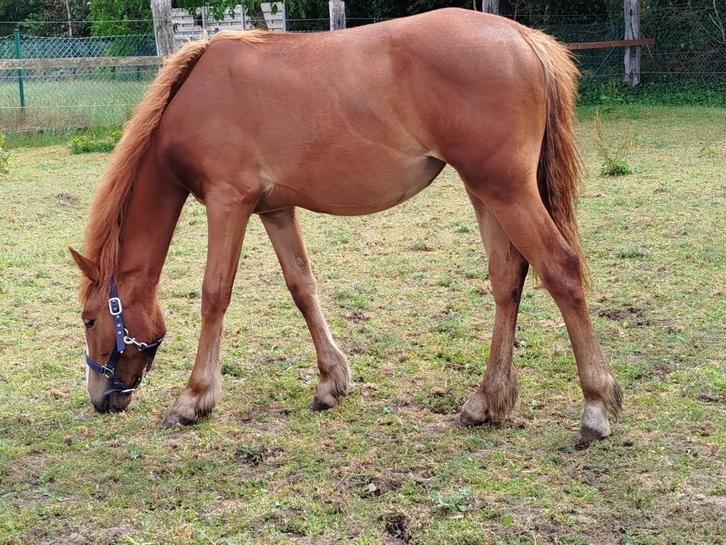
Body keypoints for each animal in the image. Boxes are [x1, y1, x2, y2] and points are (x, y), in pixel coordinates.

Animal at [69, 8, 622, 443]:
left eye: (91, 320)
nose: (100, 398)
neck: (199, 94)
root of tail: (523, 38)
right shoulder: (274, 210)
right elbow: (302, 286)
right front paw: (331, 382)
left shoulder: (229, 204)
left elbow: (214, 295)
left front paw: (194, 398)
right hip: (485, 190)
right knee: (507, 280)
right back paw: (486, 401)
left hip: (506, 190)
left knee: (561, 269)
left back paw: (595, 407)